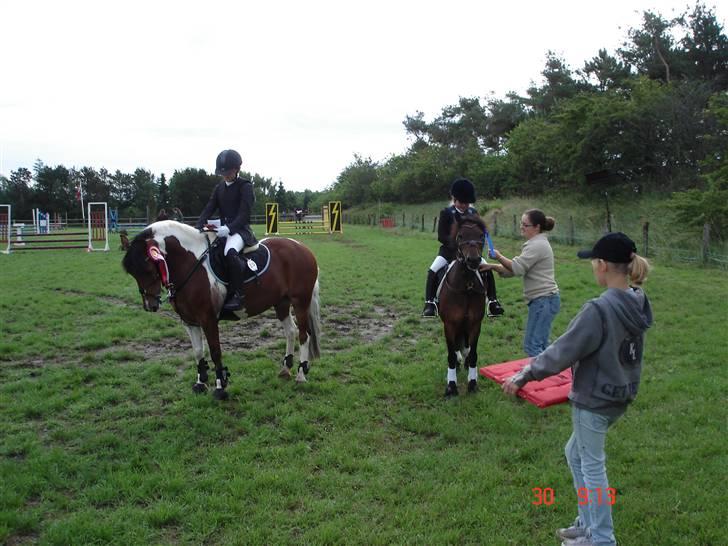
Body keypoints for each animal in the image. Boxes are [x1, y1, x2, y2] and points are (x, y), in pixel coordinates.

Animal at [122, 219, 322, 398]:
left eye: (149, 269)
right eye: (133, 273)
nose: (151, 305)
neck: (190, 263)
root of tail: (302, 247)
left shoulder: (208, 319)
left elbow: (215, 351)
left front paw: (220, 387)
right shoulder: (189, 321)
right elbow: (198, 351)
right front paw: (200, 383)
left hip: (300, 302)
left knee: (304, 335)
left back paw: (301, 375)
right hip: (281, 303)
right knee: (291, 331)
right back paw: (285, 369)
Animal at [436, 212, 486, 396]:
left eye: (481, 236)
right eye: (460, 236)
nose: (473, 260)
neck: (466, 286)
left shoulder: (475, 324)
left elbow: (473, 354)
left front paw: (472, 383)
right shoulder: (449, 324)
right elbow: (451, 354)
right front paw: (451, 386)